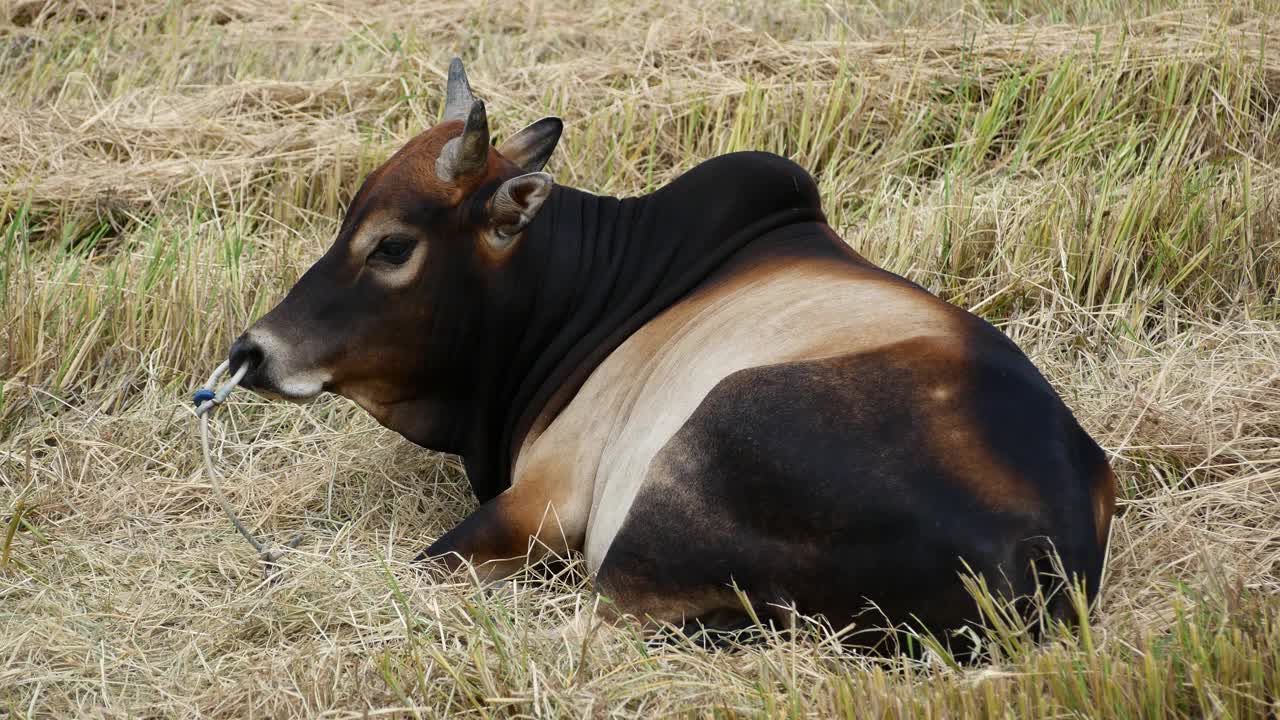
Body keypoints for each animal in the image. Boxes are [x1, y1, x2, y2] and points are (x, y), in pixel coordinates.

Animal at [227, 58, 1111, 648]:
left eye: (391, 246)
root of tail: (1039, 555)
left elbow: (423, 566)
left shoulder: (544, 497)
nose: (253, 350)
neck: (596, 292)